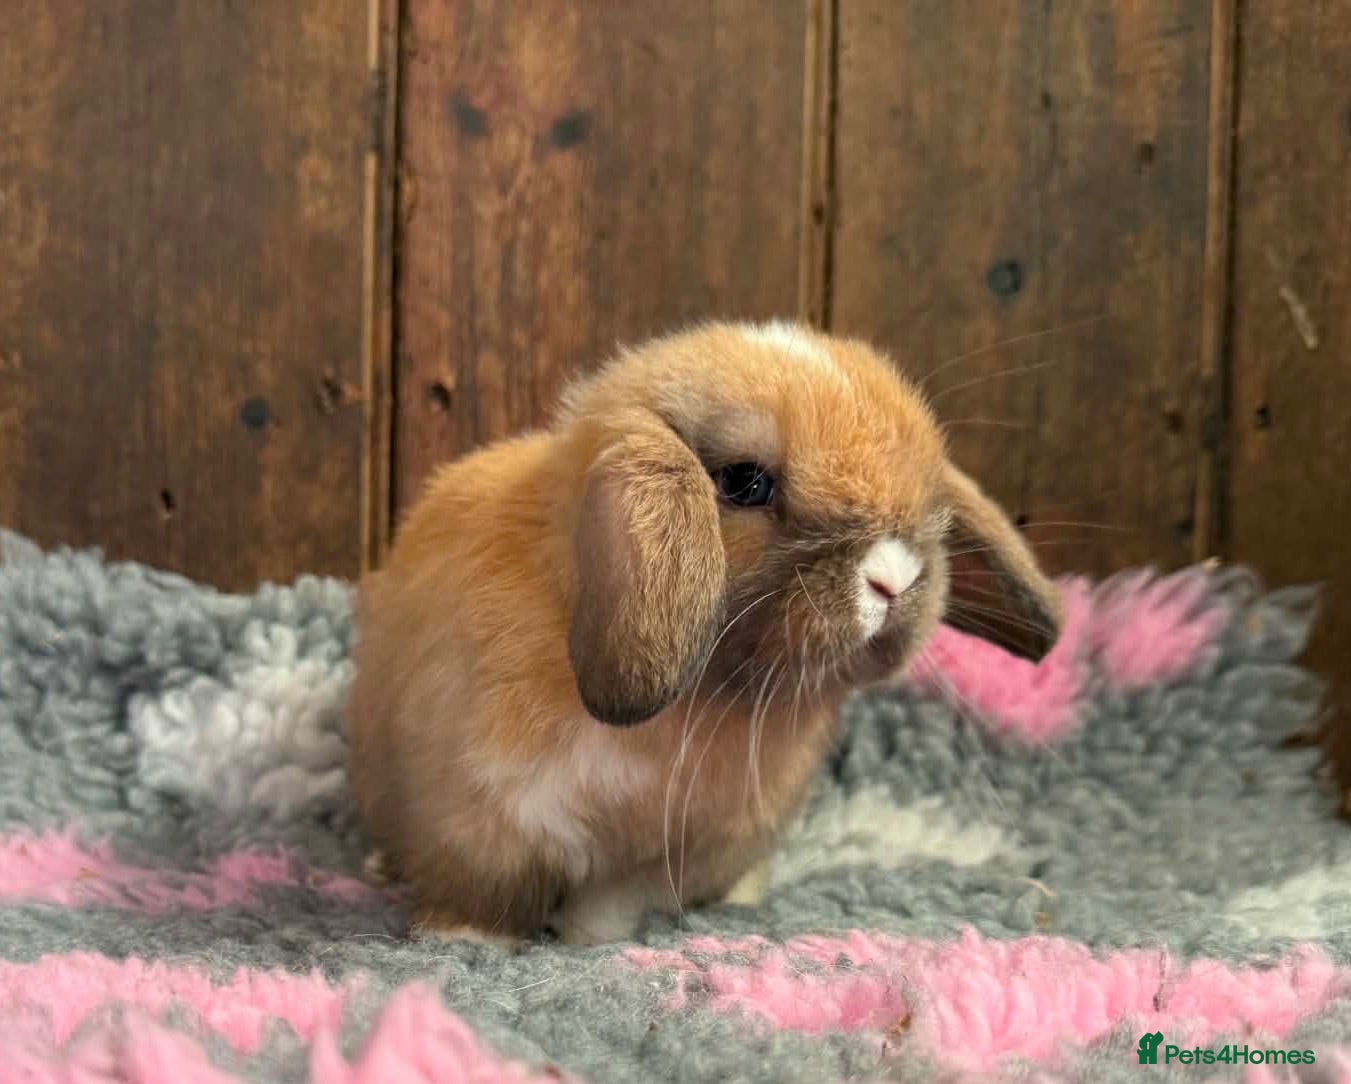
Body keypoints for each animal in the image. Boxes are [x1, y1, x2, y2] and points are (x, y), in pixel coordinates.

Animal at [346, 320, 1064, 945]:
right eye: (745, 481)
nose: (894, 576)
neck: (706, 697)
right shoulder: (484, 821)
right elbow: (485, 895)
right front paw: (464, 941)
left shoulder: (667, 854)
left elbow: (608, 905)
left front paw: (589, 944)